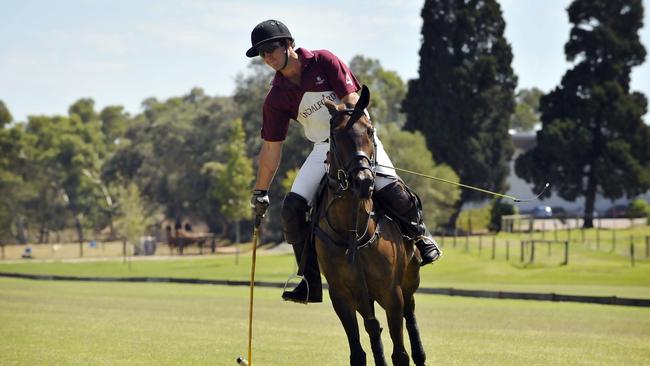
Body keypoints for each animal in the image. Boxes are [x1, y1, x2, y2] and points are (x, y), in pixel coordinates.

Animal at [314, 84, 426, 364]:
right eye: (336, 134)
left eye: (369, 129)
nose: (364, 180)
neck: (352, 230)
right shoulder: (341, 295)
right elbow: (358, 352)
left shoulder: (392, 292)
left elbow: (400, 354)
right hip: (364, 297)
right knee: (373, 326)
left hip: (409, 281)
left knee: (410, 316)